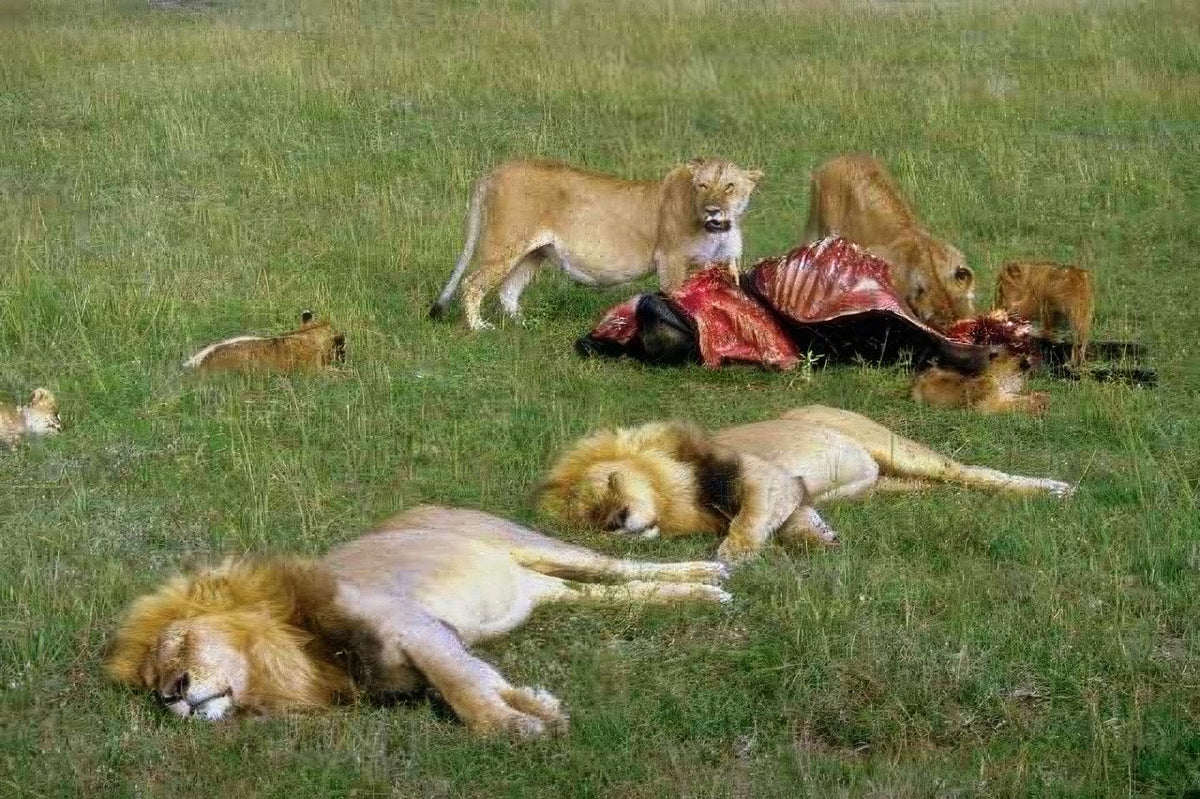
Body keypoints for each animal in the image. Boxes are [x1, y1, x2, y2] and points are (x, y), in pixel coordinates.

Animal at [105, 506, 729, 738]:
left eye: (180, 643)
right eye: (151, 685)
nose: (173, 695)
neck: (299, 654)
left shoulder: (416, 629)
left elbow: (465, 692)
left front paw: (516, 728)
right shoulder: (435, 647)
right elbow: (480, 680)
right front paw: (536, 707)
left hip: (538, 546)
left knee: (621, 566)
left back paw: (710, 577)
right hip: (550, 591)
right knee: (616, 594)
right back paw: (697, 595)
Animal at [429, 157, 764, 330]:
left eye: (730, 186)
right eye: (703, 185)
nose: (713, 209)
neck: (716, 229)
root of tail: (494, 171)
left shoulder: (725, 264)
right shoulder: (672, 260)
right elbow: (677, 304)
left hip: (532, 253)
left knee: (508, 292)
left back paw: (526, 325)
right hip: (505, 245)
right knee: (472, 283)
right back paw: (479, 327)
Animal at [540, 405, 1074, 563]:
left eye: (612, 483)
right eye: (591, 517)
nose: (618, 520)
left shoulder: (765, 477)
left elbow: (748, 521)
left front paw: (732, 555)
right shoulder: (793, 491)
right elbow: (794, 521)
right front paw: (819, 536)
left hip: (898, 449)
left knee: (978, 474)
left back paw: (1054, 489)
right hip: (892, 485)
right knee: (953, 489)